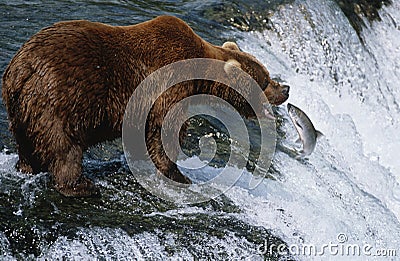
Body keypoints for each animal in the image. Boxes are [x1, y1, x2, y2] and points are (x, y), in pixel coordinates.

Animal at [0, 15, 288, 196]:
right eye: (265, 81)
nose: (285, 88)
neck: (198, 78)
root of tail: (20, 67)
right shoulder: (168, 88)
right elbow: (166, 133)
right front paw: (178, 174)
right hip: (60, 99)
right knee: (63, 146)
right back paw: (81, 187)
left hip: (20, 106)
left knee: (26, 141)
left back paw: (26, 168)